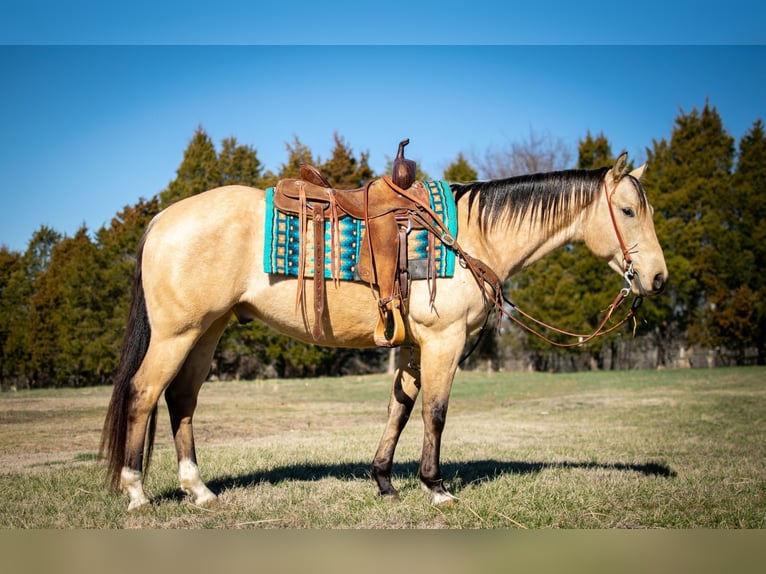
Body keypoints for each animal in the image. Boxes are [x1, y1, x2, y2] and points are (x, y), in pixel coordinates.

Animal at [100, 152, 664, 512]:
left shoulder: (413, 348)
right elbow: (435, 412)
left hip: (207, 332)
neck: (471, 236)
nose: (657, 278)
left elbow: (400, 409)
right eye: (627, 211)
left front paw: (385, 482)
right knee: (144, 394)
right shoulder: (443, 342)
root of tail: (161, 219)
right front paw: (436, 488)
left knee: (182, 400)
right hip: (176, 335)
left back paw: (198, 490)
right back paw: (137, 494)